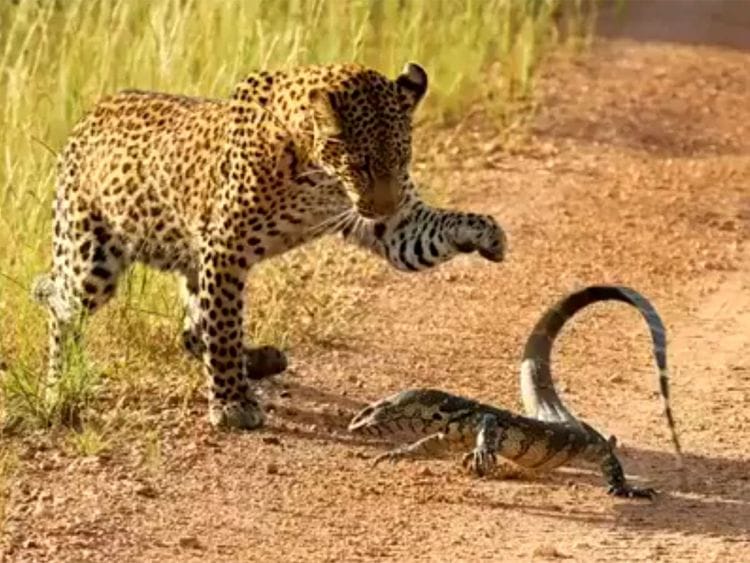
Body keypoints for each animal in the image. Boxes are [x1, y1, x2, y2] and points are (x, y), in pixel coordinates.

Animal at [31, 61, 507, 430]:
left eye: (402, 159)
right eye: (361, 164)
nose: (382, 207)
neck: (319, 173)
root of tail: (92, 112)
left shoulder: (398, 226)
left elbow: (434, 229)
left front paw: (486, 232)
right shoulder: (225, 247)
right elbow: (224, 329)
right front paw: (232, 404)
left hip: (185, 262)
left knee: (191, 330)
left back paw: (261, 360)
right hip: (91, 257)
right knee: (60, 304)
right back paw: (56, 387)